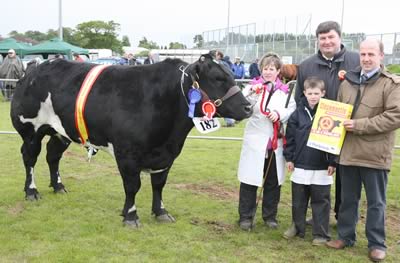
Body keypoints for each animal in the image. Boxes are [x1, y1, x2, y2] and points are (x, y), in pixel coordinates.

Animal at [10, 53, 252, 227]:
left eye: (231, 75)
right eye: (217, 78)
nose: (248, 107)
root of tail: (33, 69)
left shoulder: (166, 155)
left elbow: (159, 184)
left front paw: (161, 212)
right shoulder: (127, 153)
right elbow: (132, 186)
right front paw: (131, 216)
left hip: (61, 132)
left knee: (53, 155)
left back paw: (59, 186)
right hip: (30, 129)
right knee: (30, 158)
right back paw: (31, 191)